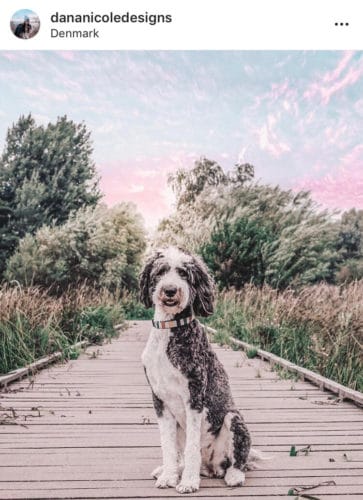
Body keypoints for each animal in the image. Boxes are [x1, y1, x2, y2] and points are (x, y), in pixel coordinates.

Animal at [140, 246, 253, 492]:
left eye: (184, 273)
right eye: (160, 271)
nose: (170, 290)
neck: (170, 328)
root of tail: (210, 467)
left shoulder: (194, 397)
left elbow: (192, 448)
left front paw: (189, 482)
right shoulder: (159, 400)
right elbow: (168, 446)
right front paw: (169, 476)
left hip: (234, 418)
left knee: (238, 458)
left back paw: (233, 475)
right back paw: (171, 470)